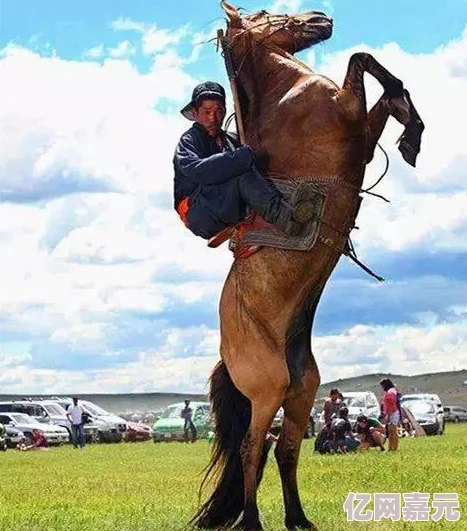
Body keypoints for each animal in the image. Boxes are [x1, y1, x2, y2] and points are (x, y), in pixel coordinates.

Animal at [193, 2, 424, 528]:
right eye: (263, 13)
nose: (321, 16)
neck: (287, 93)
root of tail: (226, 354)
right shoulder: (348, 112)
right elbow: (364, 61)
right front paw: (411, 133)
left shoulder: (362, 131)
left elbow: (383, 86)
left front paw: (411, 132)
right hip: (267, 391)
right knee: (251, 447)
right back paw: (253, 521)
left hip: (301, 391)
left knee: (286, 448)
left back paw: (298, 518)